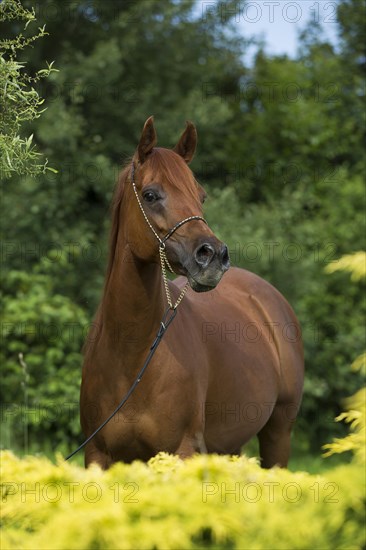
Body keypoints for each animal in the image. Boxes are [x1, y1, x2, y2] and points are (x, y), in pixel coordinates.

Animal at [80, 116, 304, 470]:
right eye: (151, 195)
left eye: (201, 195)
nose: (213, 256)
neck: (131, 355)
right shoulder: (98, 456)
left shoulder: (181, 451)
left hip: (278, 435)